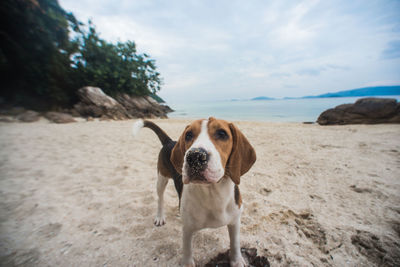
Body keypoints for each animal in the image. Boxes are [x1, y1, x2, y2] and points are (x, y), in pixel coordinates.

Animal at [132, 119, 256, 267]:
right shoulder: (187, 229)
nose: (195, 156)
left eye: (222, 133)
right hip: (161, 178)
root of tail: (170, 141)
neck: (212, 194)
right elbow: (187, 249)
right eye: (188, 135)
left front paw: (236, 260)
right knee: (160, 198)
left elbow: (235, 243)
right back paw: (160, 216)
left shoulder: (235, 221)